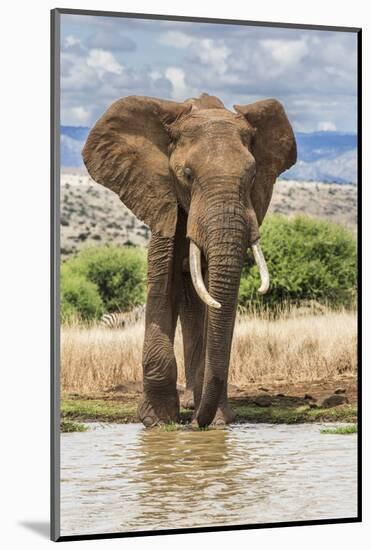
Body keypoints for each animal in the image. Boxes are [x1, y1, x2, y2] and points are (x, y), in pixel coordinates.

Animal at [83, 92, 298, 430]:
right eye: (186, 175)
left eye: (252, 175)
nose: (198, 424)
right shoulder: (162, 202)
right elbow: (162, 286)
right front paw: (157, 422)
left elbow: (215, 305)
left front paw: (218, 421)